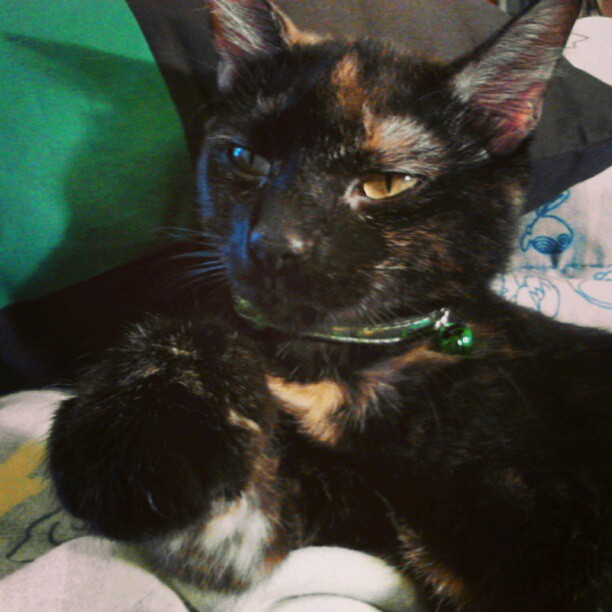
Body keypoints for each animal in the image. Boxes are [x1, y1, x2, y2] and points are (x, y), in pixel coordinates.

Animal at [48, 0, 611, 610]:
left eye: (386, 183)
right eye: (247, 157)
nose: (272, 243)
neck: (330, 366)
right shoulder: (337, 516)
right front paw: (142, 437)